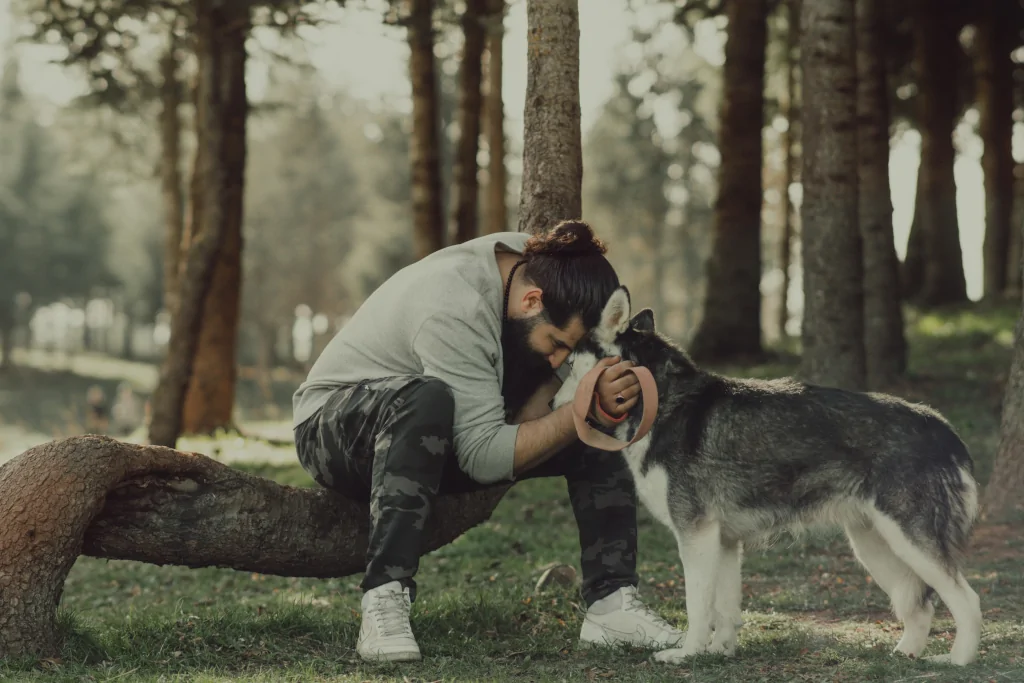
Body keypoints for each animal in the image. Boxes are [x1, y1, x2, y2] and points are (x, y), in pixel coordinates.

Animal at [552, 288, 983, 667]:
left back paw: (957, 660)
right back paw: (906, 654)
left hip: (910, 542)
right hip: (876, 546)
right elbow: (724, 610)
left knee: (967, 601)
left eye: (570, 367)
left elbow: (698, 607)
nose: (550, 405)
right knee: (920, 606)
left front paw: (687, 655)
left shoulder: (696, 536)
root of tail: (940, 425)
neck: (661, 401)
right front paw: (718, 653)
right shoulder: (723, 542)